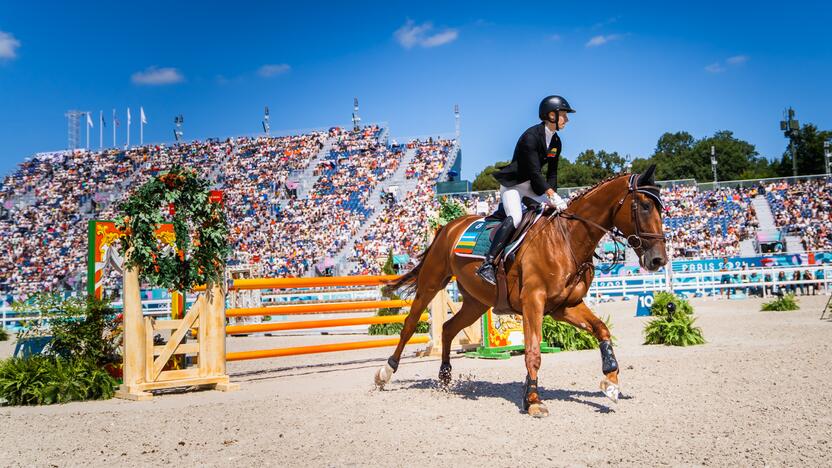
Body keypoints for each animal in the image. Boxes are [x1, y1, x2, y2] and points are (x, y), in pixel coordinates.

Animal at [374, 165, 668, 416]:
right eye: (644, 206)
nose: (658, 260)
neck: (569, 239)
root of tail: (449, 226)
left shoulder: (564, 306)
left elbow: (601, 330)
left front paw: (611, 382)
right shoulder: (533, 301)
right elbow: (533, 351)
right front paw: (534, 401)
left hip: (476, 302)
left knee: (448, 328)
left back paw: (445, 376)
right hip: (432, 282)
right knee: (410, 324)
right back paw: (385, 373)